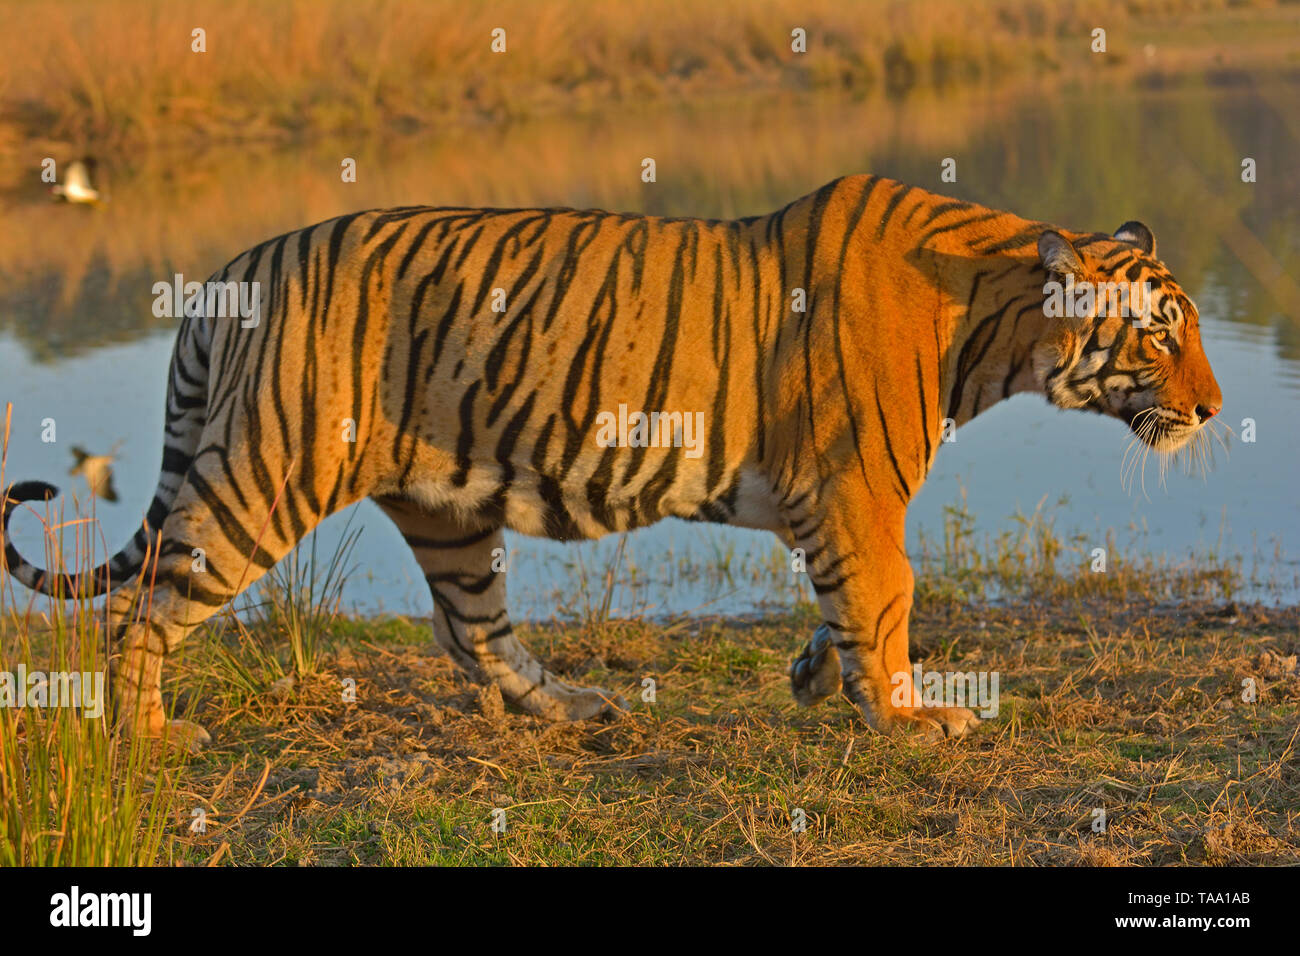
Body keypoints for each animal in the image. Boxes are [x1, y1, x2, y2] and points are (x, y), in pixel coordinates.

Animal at [1, 174, 1223, 747]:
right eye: (1162, 334)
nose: (1213, 409)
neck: (997, 320)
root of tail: (237, 264)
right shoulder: (859, 488)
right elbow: (889, 596)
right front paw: (909, 718)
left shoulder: (836, 502)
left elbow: (850, 603)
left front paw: (817, 675)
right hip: (264, 474)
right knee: (141, 611)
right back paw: (148, 737)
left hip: (446, 508)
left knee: (470, 630)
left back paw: (573, 707)